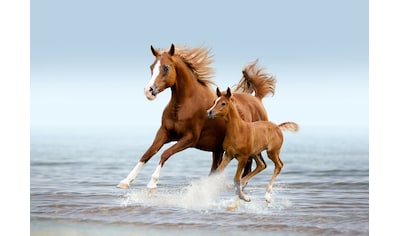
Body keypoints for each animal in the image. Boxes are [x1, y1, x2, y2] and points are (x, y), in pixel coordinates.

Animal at [117, 43, 276, 189]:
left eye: (166, 67)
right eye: (151, 67)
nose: (148, 91)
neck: (183, 105)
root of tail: (257, 99)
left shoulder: (189, 138)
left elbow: (165, 153)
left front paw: (152, 183)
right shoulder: (164, 133)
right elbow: (147, 153)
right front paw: (125, 181)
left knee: (248, 167)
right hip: (217, 149)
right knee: (217, 168)